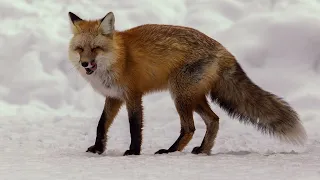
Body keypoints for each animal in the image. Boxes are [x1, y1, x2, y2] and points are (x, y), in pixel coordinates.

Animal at [67, 11, 308, 155]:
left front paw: (134, 151)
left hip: (180, 96)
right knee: (214, 120)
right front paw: (98, 148)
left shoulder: (133, 95)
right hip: (193, 97)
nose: (85, 63)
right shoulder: (114, 97)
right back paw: (202, 150)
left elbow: (135, 127)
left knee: (189, 127)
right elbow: (101, 124)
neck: (119, 57)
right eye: (80, 49)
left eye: (96, 48)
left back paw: (171, 151)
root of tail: (224, 50)